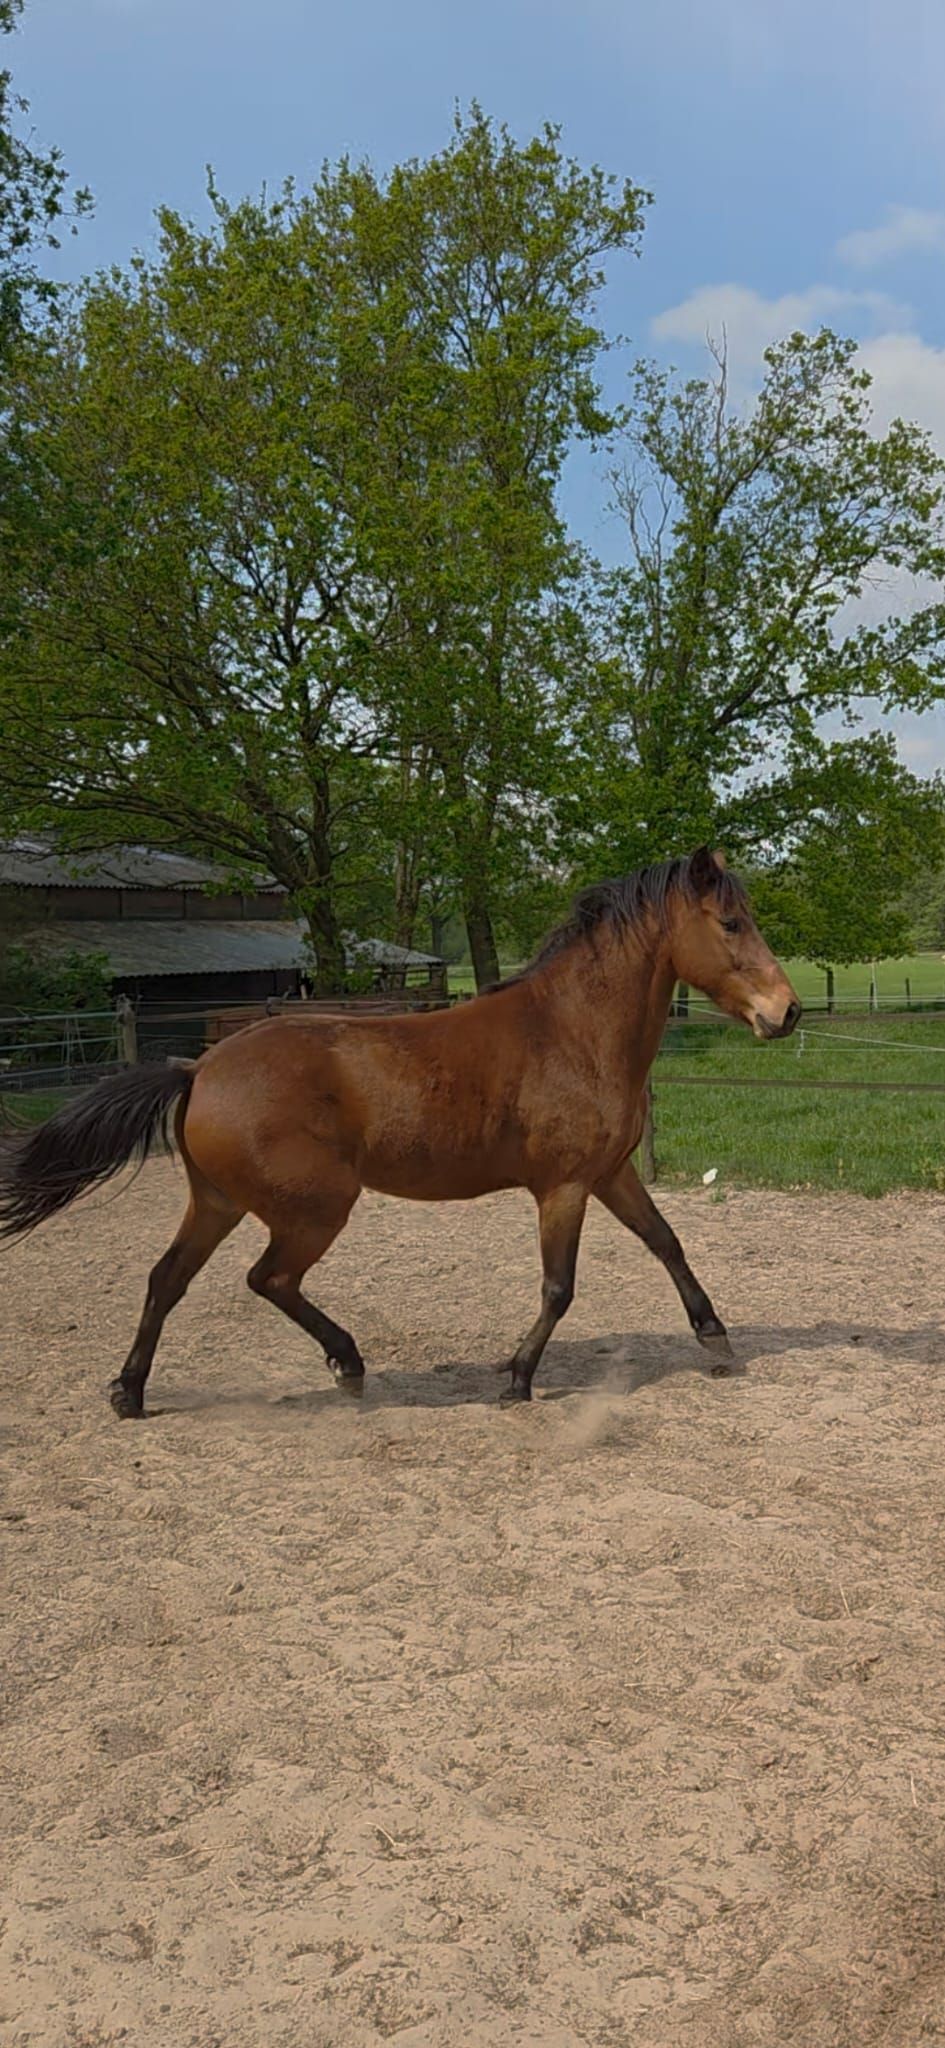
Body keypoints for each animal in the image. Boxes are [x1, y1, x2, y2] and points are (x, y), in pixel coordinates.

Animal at [0, 847, 800, 1417]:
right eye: (731, 924)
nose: (785, 1011)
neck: (572, 1031)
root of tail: (198, 1068)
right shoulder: (564, 1188)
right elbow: (558, 1287)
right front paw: (516, 1378)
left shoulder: (610, 1174)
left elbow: (667, 1243)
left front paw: (715, 1338)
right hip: (314, 1209)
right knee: (268, 1279)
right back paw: (349, 1367)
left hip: (218, 1203)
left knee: (168, 1279)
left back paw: (130, 1393)